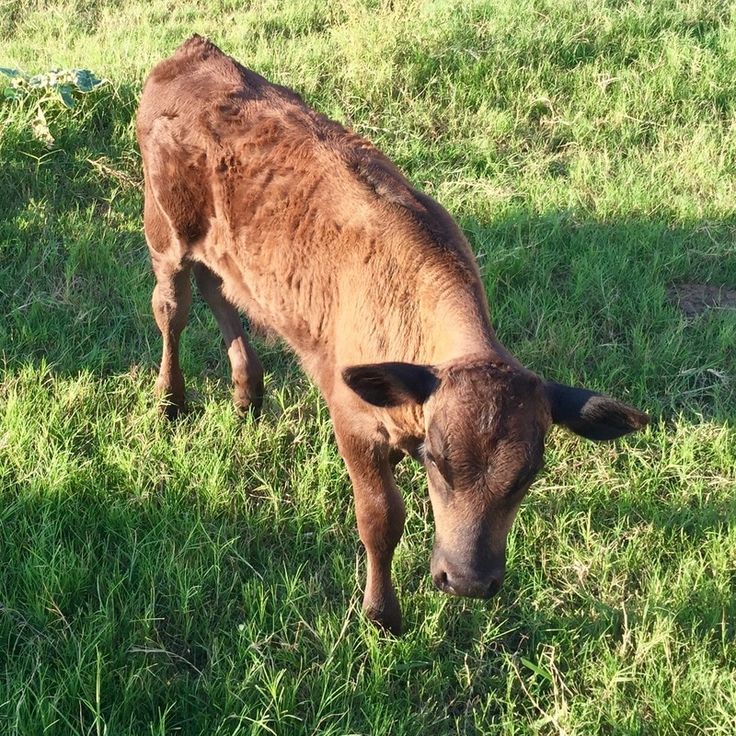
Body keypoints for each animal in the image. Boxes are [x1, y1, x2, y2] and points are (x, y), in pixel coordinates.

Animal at [135, 36, 648, 632]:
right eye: (439, 461)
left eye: (528, 474)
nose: (468, 582)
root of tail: (194, 51)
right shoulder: (353, 420)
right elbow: (381, 518)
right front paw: (381, 614)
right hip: (164, 232)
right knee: (172, 309)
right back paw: (171, 400)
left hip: (224, 251)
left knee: (220, 292)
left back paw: (248, 391)